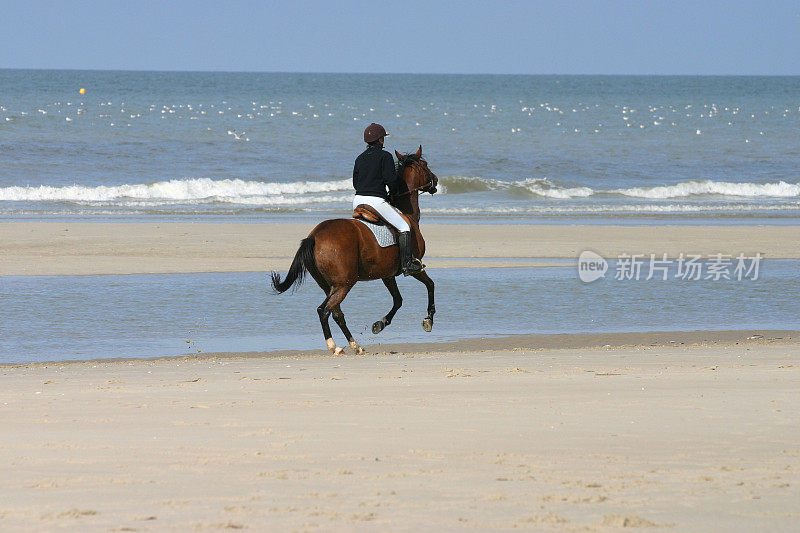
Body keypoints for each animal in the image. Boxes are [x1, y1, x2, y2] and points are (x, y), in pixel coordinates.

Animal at [272, 144, 440, 354]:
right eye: (425, 165)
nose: (435, 181)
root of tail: (315, 236)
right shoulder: (413, 268)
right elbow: (430, 285)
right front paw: (428, 320)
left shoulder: (387, 274)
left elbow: (398, 300)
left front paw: (380, 324)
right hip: (344, 284)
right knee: (325, 311)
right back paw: (335, 346)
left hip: (330, 285)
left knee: (335, 313)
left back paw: (354, 344)